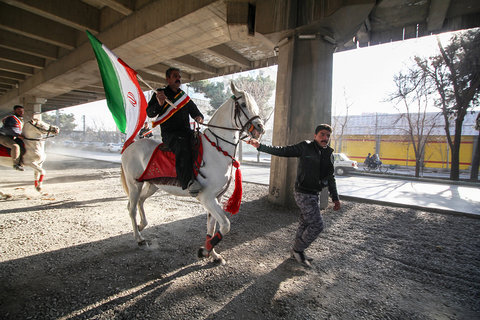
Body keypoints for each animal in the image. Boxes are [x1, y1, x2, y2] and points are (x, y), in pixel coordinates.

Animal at [119, 82, 262, 264]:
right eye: (243, 104)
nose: (260, 128)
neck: (217, 149)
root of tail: (129, 146)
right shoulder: (207, 198)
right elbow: (225, 225)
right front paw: (204, 251)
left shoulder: (216, 198)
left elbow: (212, 226)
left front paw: (213, 254)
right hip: (134, 184)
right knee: (131, 208)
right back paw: (139, 238)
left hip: (153, 185)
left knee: (141, 201)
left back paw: (141, 225)